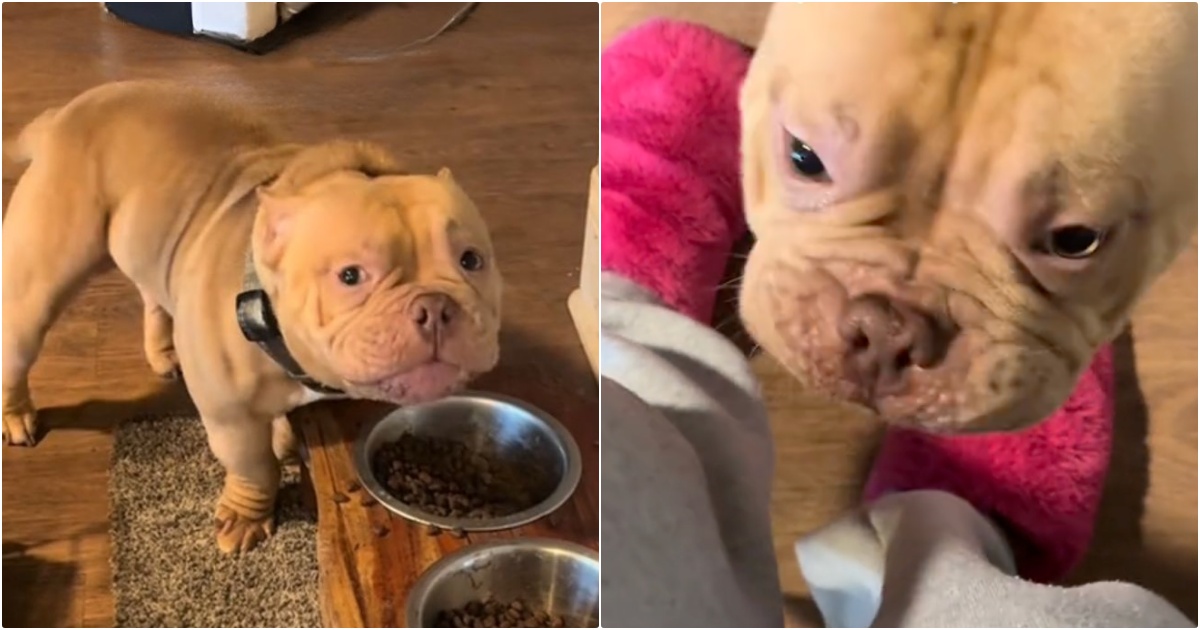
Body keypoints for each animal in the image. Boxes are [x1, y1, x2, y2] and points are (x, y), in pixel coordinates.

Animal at [2, 81, 499, 552]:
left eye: (472, 260)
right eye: (351, 275)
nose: (434, 307)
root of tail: (62, 117)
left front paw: (284, 442)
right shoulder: (230, 416)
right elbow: (255, 466)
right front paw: (247, 516)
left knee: (153, 295)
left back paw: (164, 351)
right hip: (39, 277)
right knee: (19, 343)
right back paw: (16, 416)